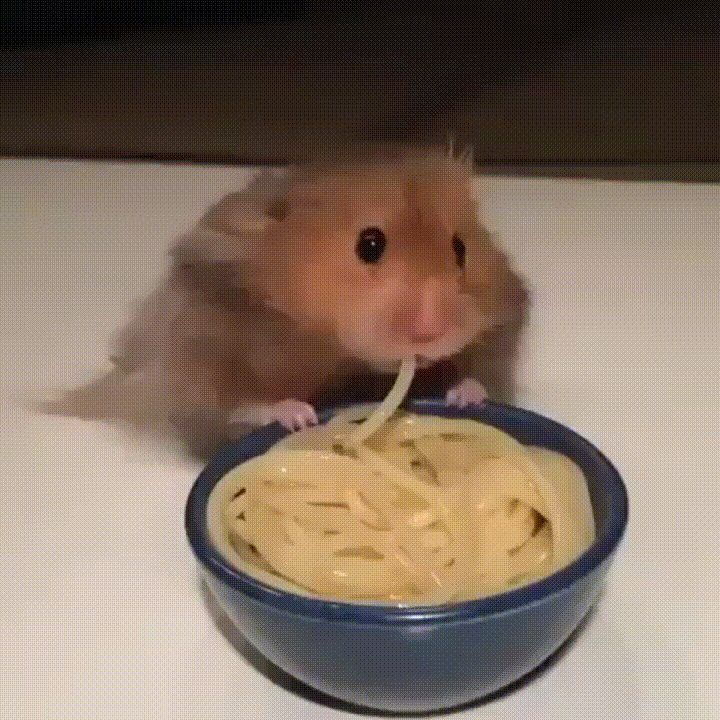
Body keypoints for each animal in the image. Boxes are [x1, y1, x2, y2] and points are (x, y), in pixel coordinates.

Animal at [46, 144, 528, 458]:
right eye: (369, 245)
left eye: (460, 249)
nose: (430, 333)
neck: (335, 348)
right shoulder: (204, 343)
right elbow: (237, 402)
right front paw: (301, 415)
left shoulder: (503, 316)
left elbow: (484, 371)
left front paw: (465, 396)